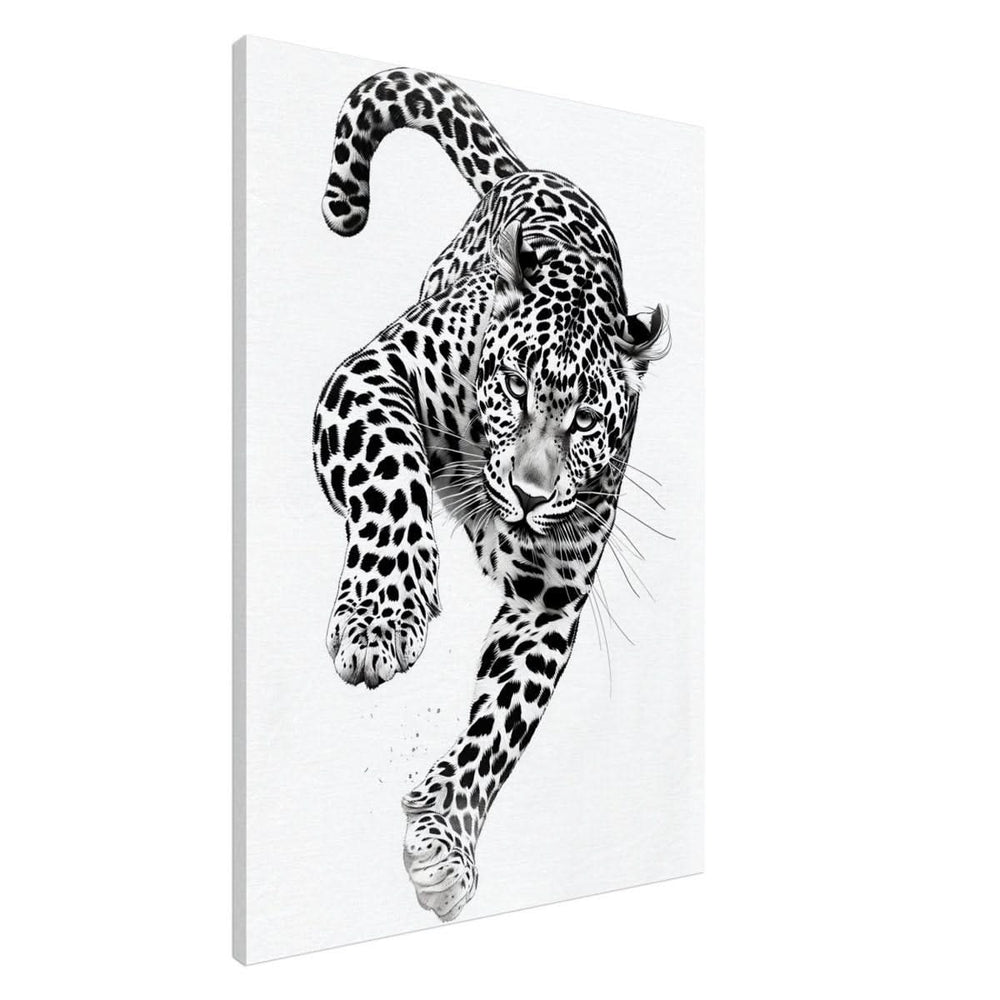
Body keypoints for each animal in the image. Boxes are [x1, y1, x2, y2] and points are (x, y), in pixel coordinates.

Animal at [313, 68, 671, 923]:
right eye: (512, 383)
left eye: (586, 421)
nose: (530, 495)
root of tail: (534, 170)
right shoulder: (371, 376)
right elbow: (391, 478)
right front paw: (381, 618)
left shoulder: (547, 600)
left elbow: (501, 727)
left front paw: (444, 838)